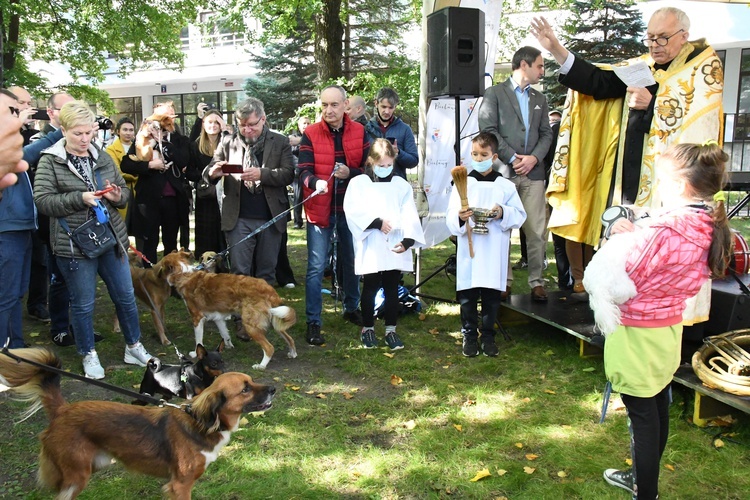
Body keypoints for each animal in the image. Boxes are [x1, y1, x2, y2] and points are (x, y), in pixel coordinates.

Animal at [0, 348, 276, 500]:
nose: (274, 389)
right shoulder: (181, 485)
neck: (201, 423)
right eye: (245, 389)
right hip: (76, 476)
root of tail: (63, 409)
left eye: (251, 380)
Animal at [160, 252, 298, 370]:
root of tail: (269, 289)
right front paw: (227, 346)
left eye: (161, 267)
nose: (157, 273)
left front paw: (195, 353)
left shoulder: (197, 318)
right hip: (277, 321)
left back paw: (261, 366)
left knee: (269, 348)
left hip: (251, 325)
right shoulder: (218, 317)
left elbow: (198, 340)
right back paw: (292, 353)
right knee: (290, 338)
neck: (184, 274)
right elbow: (224, 333)